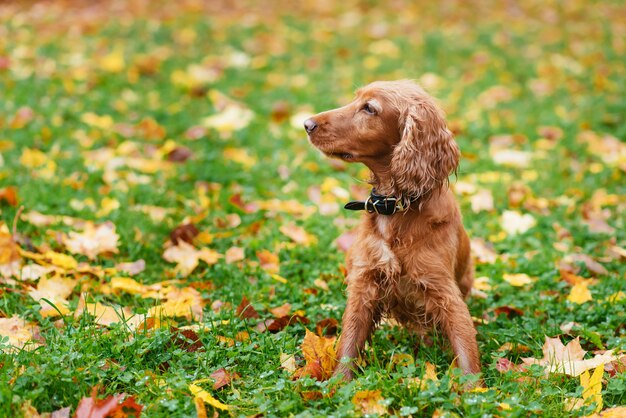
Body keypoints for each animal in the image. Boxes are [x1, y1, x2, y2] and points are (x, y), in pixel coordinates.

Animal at [304, 80, 478, 380]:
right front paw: (338, 384)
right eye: (356, 100)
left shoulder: (444, 291)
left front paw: (472, 389)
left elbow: (465, 348)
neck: (395, 207)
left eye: (369, 108)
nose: (306, 124)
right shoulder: (365, 283)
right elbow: (348, 343)